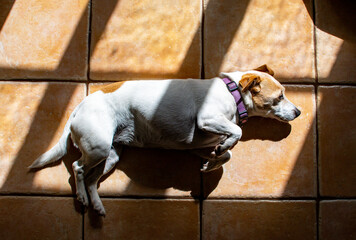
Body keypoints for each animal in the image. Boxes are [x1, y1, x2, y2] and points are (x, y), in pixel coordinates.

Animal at [29, 64, 300, 215]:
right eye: (279, 97)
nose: (298, 112)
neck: (232, 92)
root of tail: (78, 107)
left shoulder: (198, 145)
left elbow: (226, 153)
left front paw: (213, 162)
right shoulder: (207, 119)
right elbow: (237, 133)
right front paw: (226, 146)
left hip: (111, 155)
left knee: (92, 180)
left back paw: (96, 204)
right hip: (98, 148)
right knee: (77, 169)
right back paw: (82, 198)